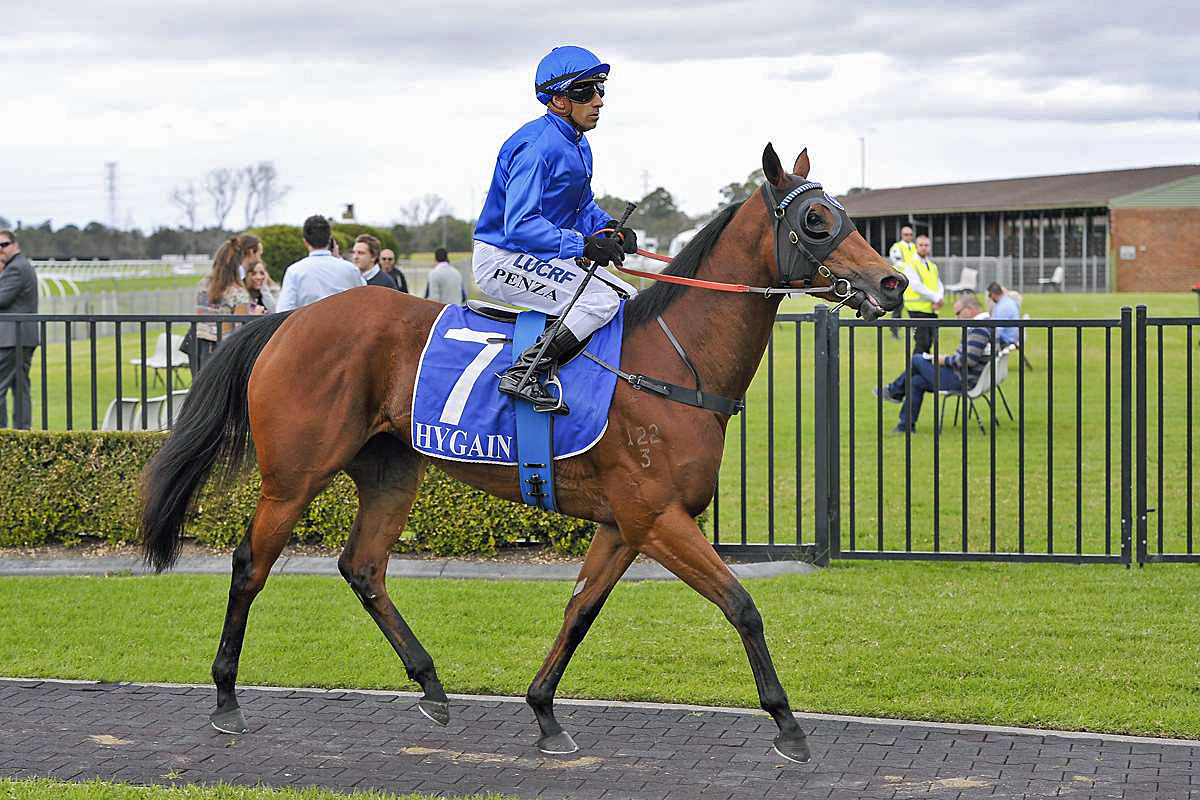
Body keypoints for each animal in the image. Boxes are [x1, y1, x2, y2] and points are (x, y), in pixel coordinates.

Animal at [140, 143, 902, 762]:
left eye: (844, 213)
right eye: (816, 220)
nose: (891, 283)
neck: (674, 364)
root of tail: (287, 319)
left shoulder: (623, 525)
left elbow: (580, 610)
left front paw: (544, 713)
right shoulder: (658, 518)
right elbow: (741, 604)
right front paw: (788, 726)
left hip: (389, 472)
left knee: (362, 567)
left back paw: (431, 685)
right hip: (295, 475)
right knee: (250, 565)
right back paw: (226, 699)